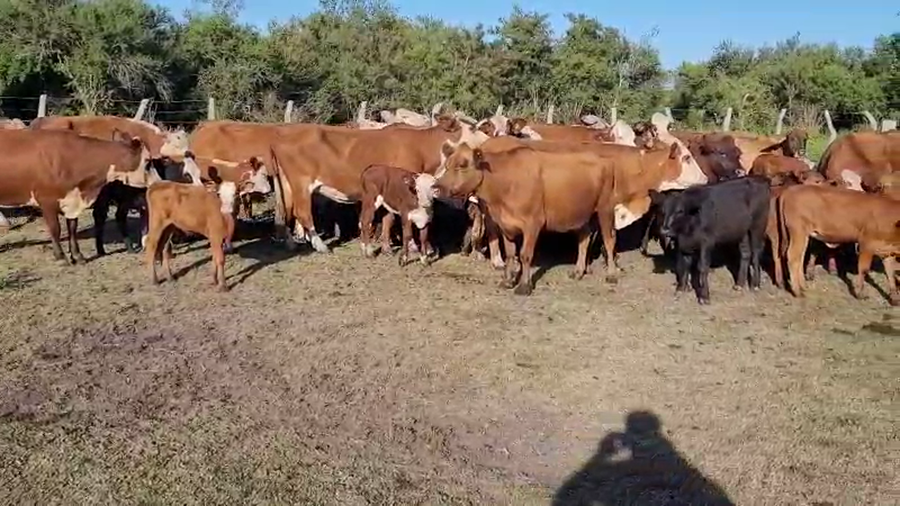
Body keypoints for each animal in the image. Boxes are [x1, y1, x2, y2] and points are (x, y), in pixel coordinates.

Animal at [0, 129, 156, 263]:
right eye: (148, 161)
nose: (157, 182)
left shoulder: (73, 201)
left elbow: (72, 228)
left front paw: (77, 255)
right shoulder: (47, 201)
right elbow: (55, 229)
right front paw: (61, 256)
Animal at [649, 177, 771, 305]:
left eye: (680, 211)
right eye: (662, 211)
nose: (665, 230)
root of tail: (761, 180)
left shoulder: (707, 242)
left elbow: (702, 267)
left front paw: (704, 297)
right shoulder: (682, 244)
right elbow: (683, 264)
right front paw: (680, 289)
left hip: (758, 226)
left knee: (756, 253)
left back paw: (755, 285)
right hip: (742, 231)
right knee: (745, 253)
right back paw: (739, 284)